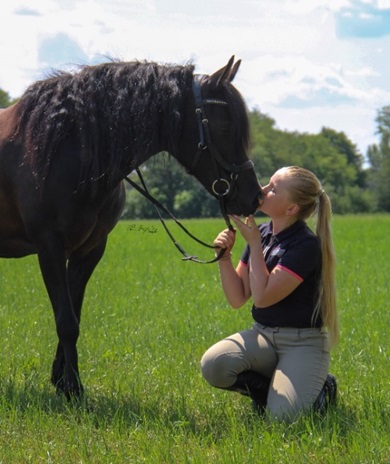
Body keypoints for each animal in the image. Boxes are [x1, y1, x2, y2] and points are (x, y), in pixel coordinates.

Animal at [0, 56, 262, 396]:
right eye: (225, 127)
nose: (254, 196)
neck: (70, 148)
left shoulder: (88, 251)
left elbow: (73, 316)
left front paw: (63, 381)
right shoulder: (50, 247)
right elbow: (66, 321)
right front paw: (73, 389)